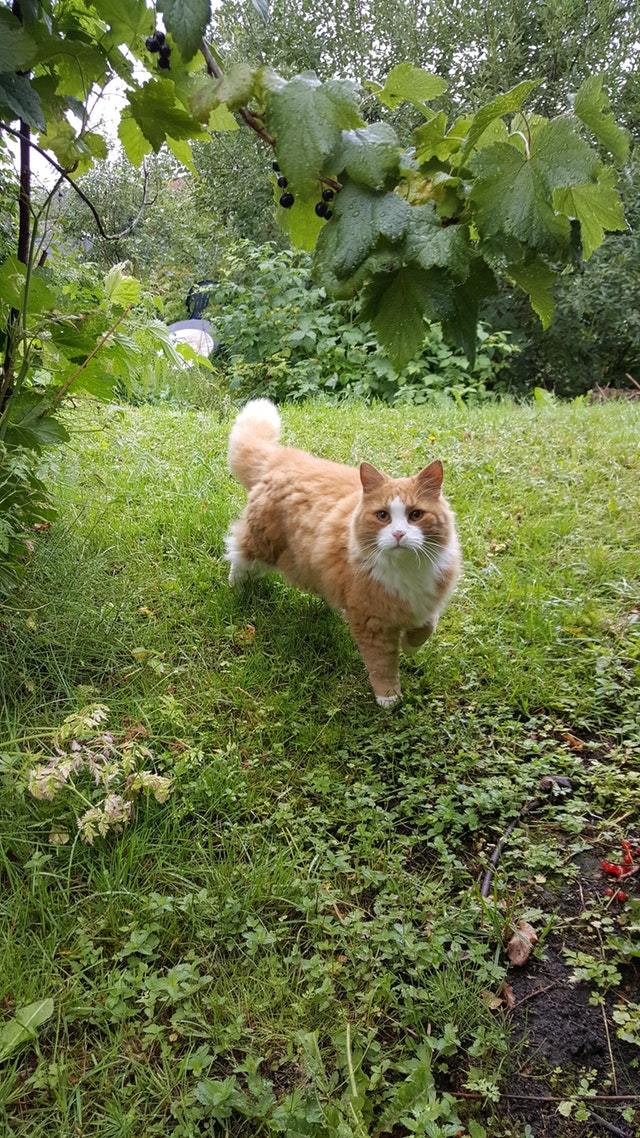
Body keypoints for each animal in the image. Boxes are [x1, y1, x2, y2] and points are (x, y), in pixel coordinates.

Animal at [224, 396, 457, 705]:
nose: (398, 534)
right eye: (382, 516)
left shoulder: (427, 603)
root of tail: (285, 458)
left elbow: (426, 627)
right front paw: (388, 697)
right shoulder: (373, 624)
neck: (406, 568)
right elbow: (382, 664)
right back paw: (237, 588)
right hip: (262, 544)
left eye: (415, 515)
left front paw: (410, 646)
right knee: (237, 552)